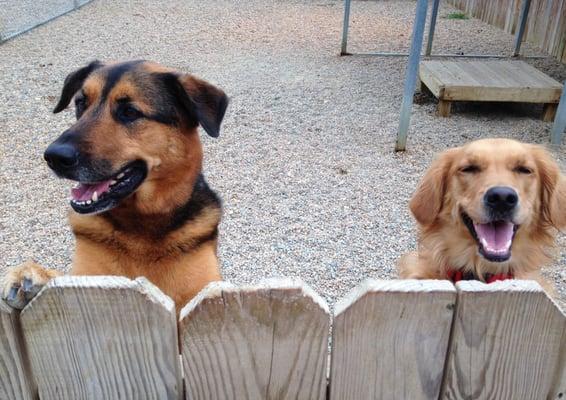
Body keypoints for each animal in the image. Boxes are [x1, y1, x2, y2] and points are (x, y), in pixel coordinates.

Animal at [2, 59, 229, 310]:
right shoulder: (87, 278)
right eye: (80, 103)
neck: (141, 227)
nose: (54, 157)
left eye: (129, 112)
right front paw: (36, 275)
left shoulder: (202, 290)